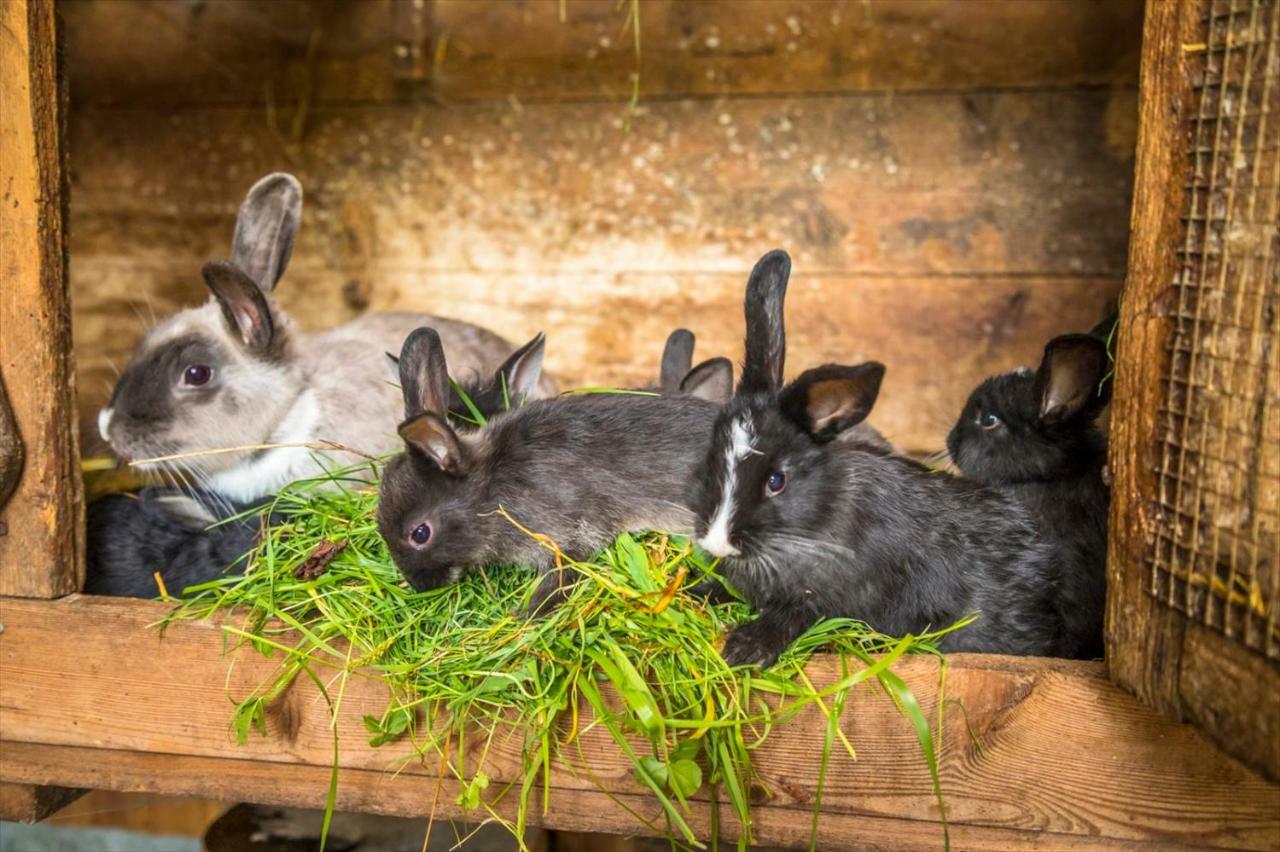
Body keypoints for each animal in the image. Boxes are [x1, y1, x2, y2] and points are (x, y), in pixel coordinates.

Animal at [691, 249, 1059, 665]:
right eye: (711, 458)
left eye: (776, 481)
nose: (718, 544)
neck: (815, 520)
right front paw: (693, 591)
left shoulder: (832, 594)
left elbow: (792, 616)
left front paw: (744, 650)